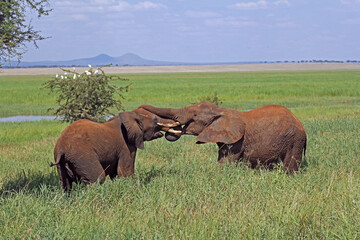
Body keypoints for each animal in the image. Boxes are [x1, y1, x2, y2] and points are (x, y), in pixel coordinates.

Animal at [50, 108, 180, 192]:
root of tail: (61, 148)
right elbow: (125, 173)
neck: (130, 115)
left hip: (62, 163)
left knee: (66, 185)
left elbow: (116, 174)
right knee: (98, 178)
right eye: (155, 121)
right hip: (82, 157)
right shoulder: (126, 146)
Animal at [140, 102, 306, 172]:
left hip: (295, 141)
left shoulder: (237, 141)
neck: (221, 110)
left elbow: (225, 162)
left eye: (195, 115)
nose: (141, 107)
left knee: (290, 165)